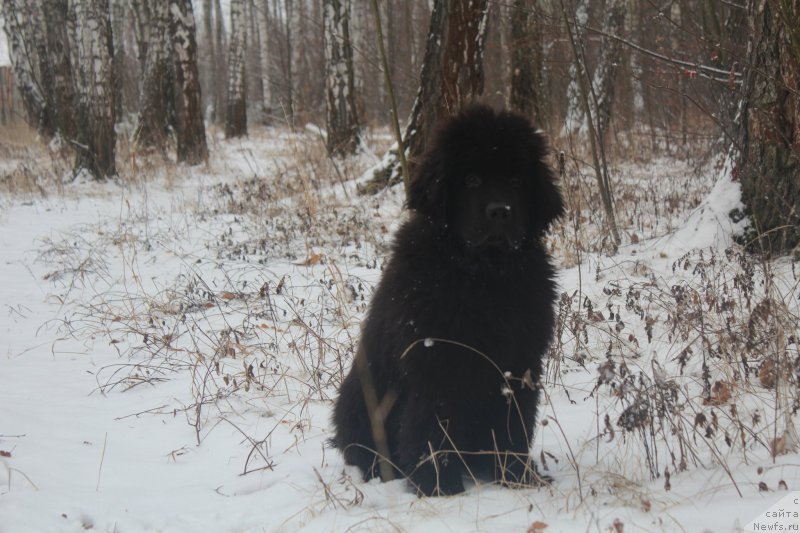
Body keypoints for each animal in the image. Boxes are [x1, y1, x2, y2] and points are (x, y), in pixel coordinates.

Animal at [332, 104, 564, 494]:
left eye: (517, 181)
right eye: (470, 179)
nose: (500, 211)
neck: (483, 273)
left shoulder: (520, 362)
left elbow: (514, 426)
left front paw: (516, 476)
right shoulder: (436, 364)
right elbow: (432, 429)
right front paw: (439, 487)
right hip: (360, 396)